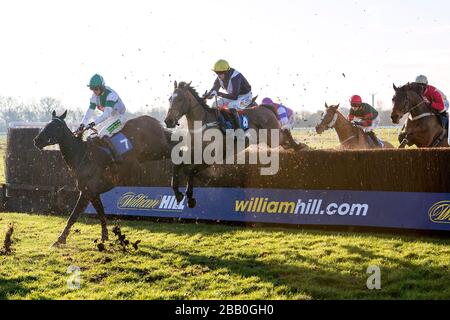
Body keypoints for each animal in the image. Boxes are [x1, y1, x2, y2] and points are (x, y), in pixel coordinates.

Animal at [33, 110, 172, 248]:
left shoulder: (86, 192)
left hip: (158, 149)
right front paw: (104, 237)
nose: (37, 140)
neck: (81, 156)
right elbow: (101, 214)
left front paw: (59, 240)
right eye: (46, 125)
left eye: (55, 127)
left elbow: (73, 216)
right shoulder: (93, 193)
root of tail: (151, 120)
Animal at [165, 81, 310, 208]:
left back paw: (300, 146)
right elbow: (178, 165)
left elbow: (190, 170)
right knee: (285, 140)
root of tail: (265, 107)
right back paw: (297, 146)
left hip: (273, 138)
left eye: (180, 99)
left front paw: (189, 197)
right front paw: (179, 194)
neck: (202, 125)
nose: (168, 121)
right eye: (170, 99)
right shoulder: (193, 152)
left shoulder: (212, 156)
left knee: (285, 131)